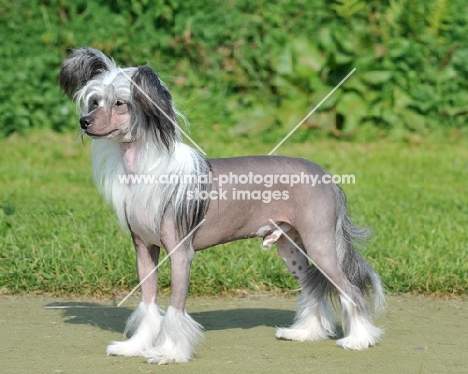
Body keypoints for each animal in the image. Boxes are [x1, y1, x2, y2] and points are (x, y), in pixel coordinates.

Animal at [58, 47, 384, 366]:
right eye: (94, 101)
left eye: (120, 103)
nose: (85, 122)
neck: (146, 169)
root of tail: (327, 177)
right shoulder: (144, 251)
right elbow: (148, 305)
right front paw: (135, 346)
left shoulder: (181, 255)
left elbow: (175, 309)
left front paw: (169, 352)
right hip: (290, 248)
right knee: (314, 287)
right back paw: (305, 333)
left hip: (320, 244)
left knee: (349, 289)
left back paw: (358, 339)